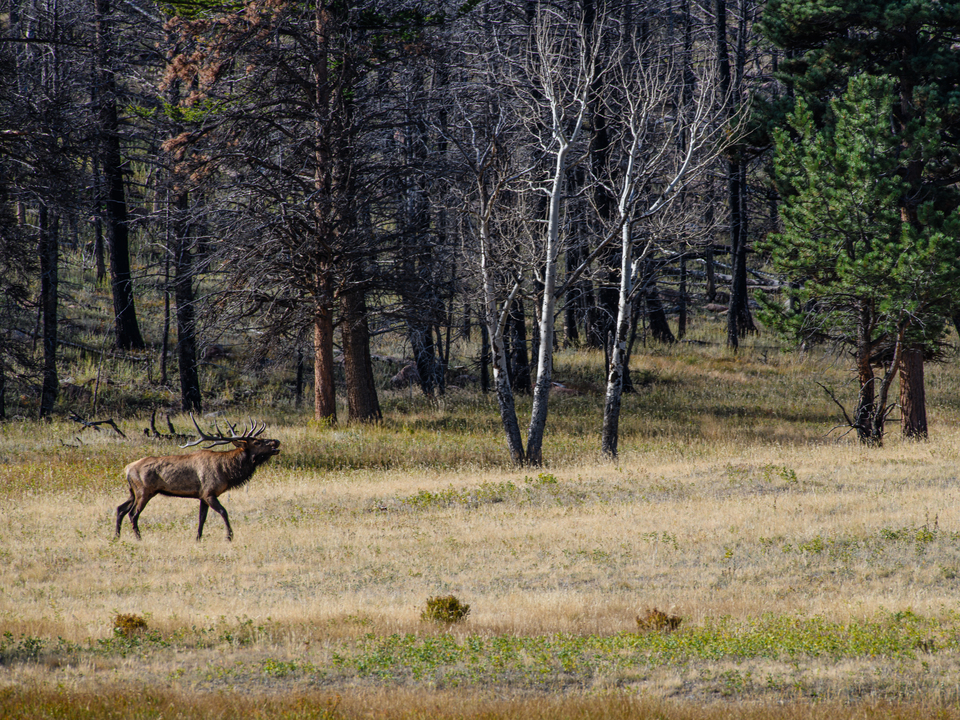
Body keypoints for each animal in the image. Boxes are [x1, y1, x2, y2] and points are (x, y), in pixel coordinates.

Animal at [115, 415, 281, 541]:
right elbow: (223, 512)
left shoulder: (202, 496)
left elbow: (202, 518)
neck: (227, 471)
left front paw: (198, 538)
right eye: (257, 442)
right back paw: (138, 538)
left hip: (133, 491)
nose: (276, 441)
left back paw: (116, 536)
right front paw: (229, 536)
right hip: (144, 491)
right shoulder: (209, 493)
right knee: (132, 514)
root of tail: (127, 469)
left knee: (120, 509)